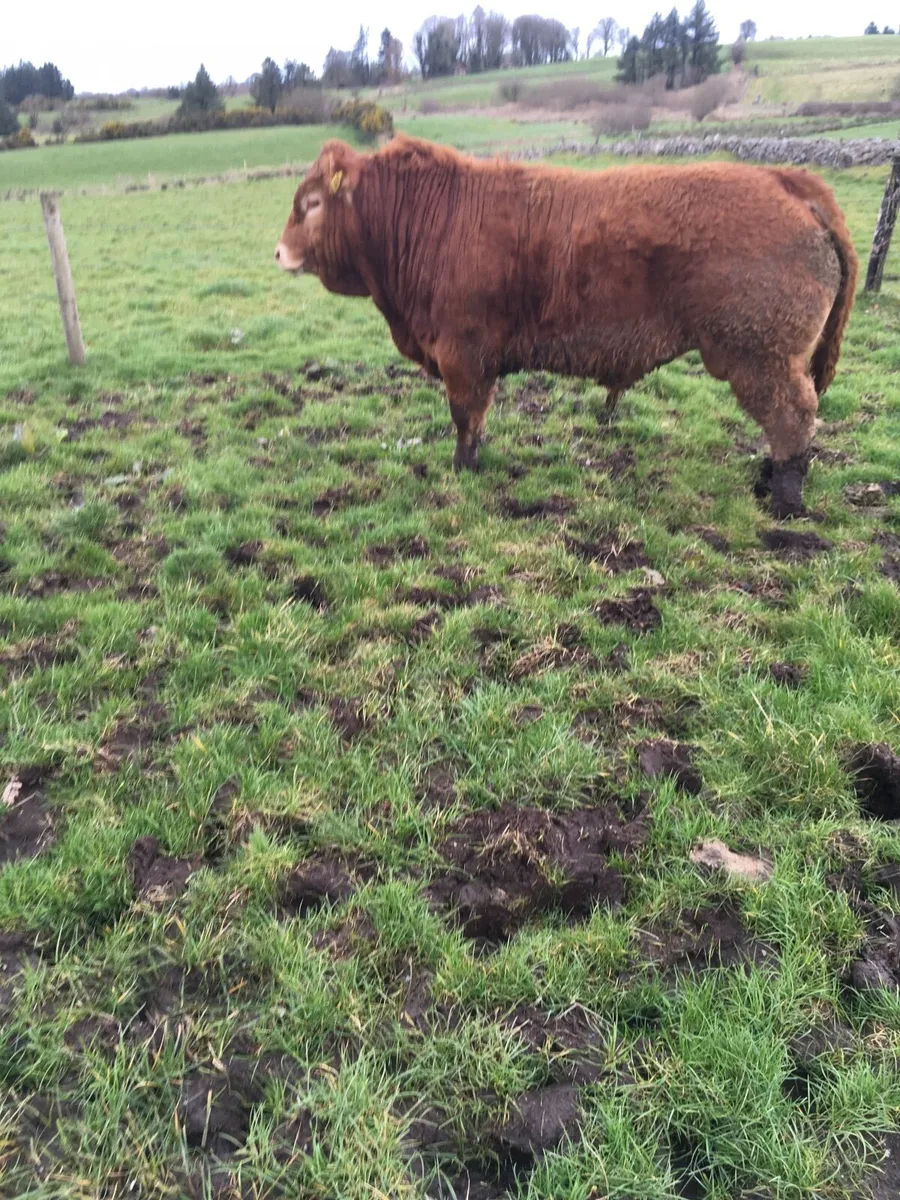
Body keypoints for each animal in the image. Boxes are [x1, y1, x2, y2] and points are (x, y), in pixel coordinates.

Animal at [274, 135, 857, 518]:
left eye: (311, 203)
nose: (279, 252)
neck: (429, 218)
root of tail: (786, 180)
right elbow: (476, 418)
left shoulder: (462, 353)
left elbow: (465, 418)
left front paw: (463, 469)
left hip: (760, 356)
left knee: (792, 418)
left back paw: (783, 499)